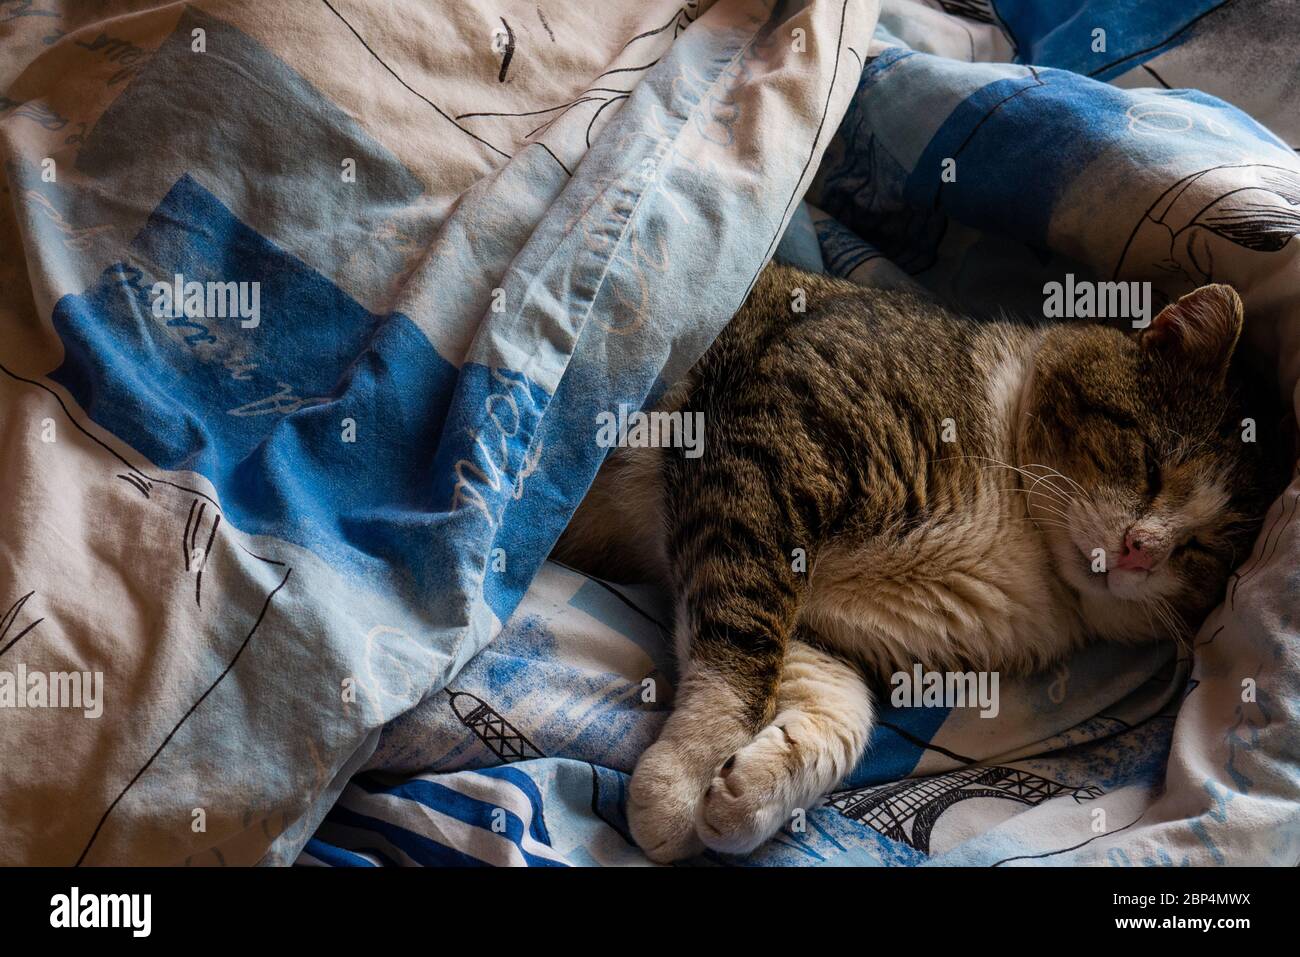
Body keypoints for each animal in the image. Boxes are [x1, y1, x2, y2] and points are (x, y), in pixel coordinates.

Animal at [553, 260, 1284, 858]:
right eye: (1152, 462)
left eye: (1201, 550)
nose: (1141, 548)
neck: (1027, 545)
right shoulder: (777, 443)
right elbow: (741, 640)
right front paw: (680, 784)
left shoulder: (821, 625)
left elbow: (837, 707)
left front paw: (745, 794)